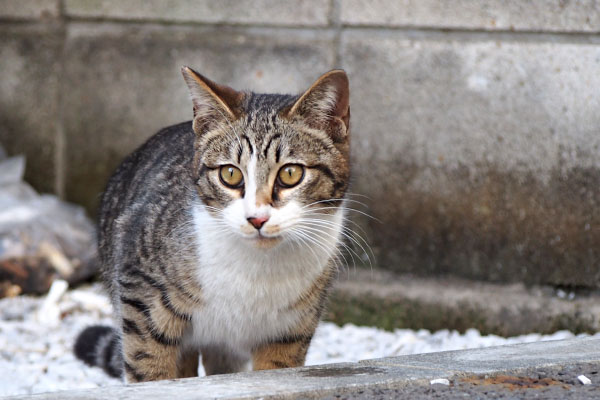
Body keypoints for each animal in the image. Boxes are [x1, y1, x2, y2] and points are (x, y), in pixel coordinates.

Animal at [73, 67, 352, 382]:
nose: (257, 218)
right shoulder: (139, 289)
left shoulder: (290, 329)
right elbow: (148, 366)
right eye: (230, 174)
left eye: (290, 173)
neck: (257, 270)